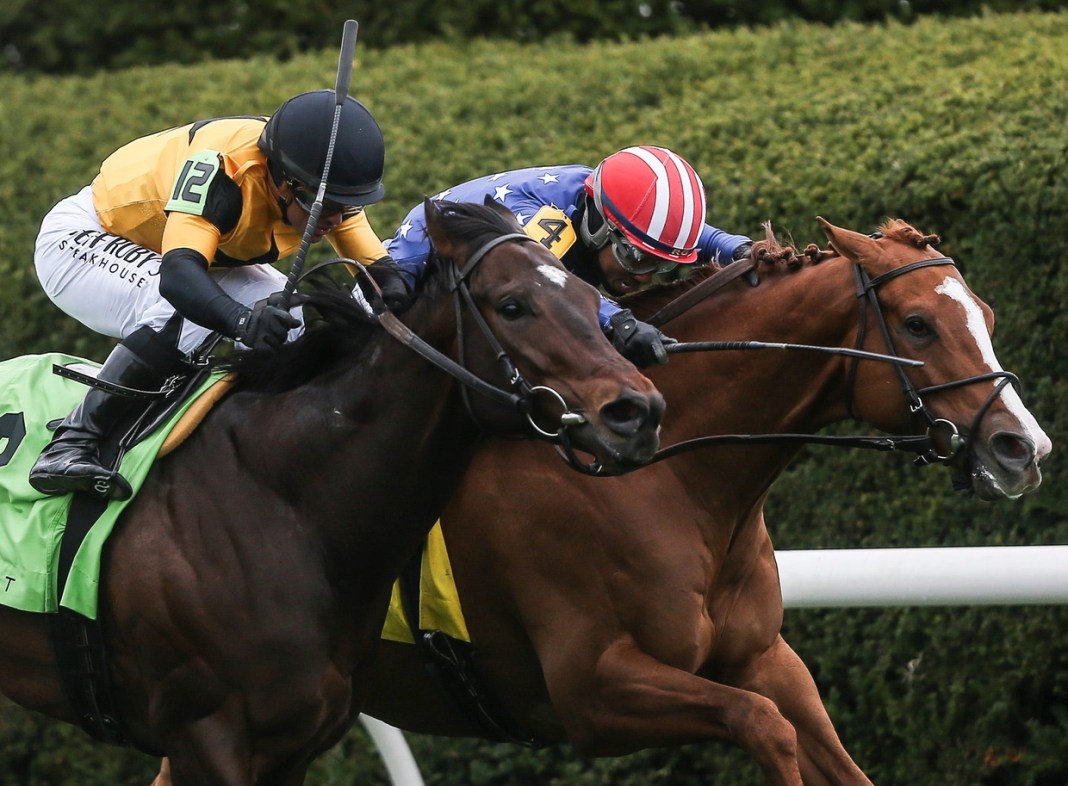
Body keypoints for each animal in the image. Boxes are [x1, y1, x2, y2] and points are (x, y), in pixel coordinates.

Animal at [0, 197, 666, 786]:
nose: (637, 412)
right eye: (513, 305)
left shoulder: (294, 745)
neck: (284, 502)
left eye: (589, 297)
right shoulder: (204, 741)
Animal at [352, 216, 1050, 786]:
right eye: (917, 324)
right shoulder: (593, 691)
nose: (1025, 448)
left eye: (986, 317)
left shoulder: (762, 657)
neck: (670, 481)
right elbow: (764, 725)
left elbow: (825, 751)